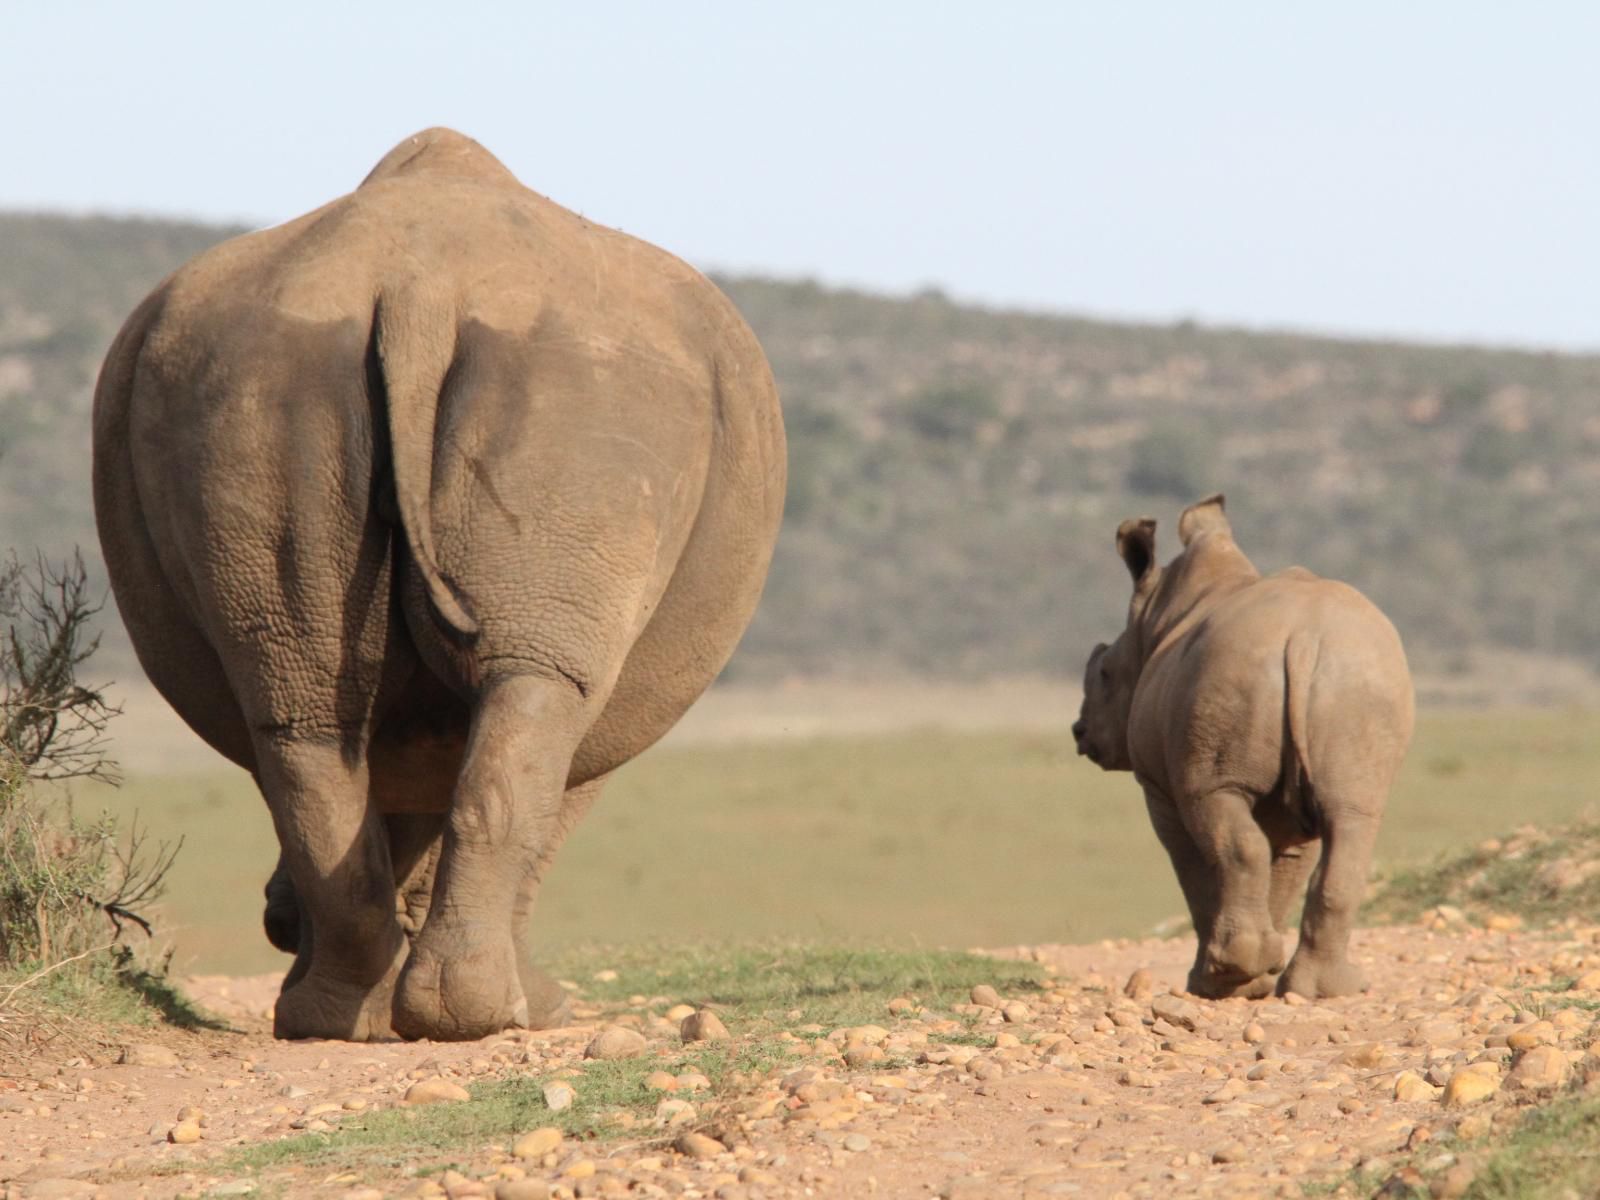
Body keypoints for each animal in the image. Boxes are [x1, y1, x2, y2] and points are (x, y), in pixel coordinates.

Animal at [93, 124, 787, 1043]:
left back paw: (335, 1020)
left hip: (255, 381)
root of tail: (420, 289)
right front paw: (527, 1006)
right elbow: (550, 802)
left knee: (303, 713)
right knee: (535, 687)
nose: (272, 920)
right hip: (592, 393)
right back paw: (487, 1016)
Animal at [1075, 492, 1414, 998]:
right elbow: (1285, 867)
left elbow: (1193, 866)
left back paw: (1230, 976)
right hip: (1358, 685)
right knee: (1353, 818)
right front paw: (1260, 979)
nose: (1079, 733)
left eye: (1104, 673)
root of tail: (1305, 638)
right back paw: (1327, 989)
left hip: (1231, 677)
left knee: (1225, 816)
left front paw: (1220, 981)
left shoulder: (1157, 787)